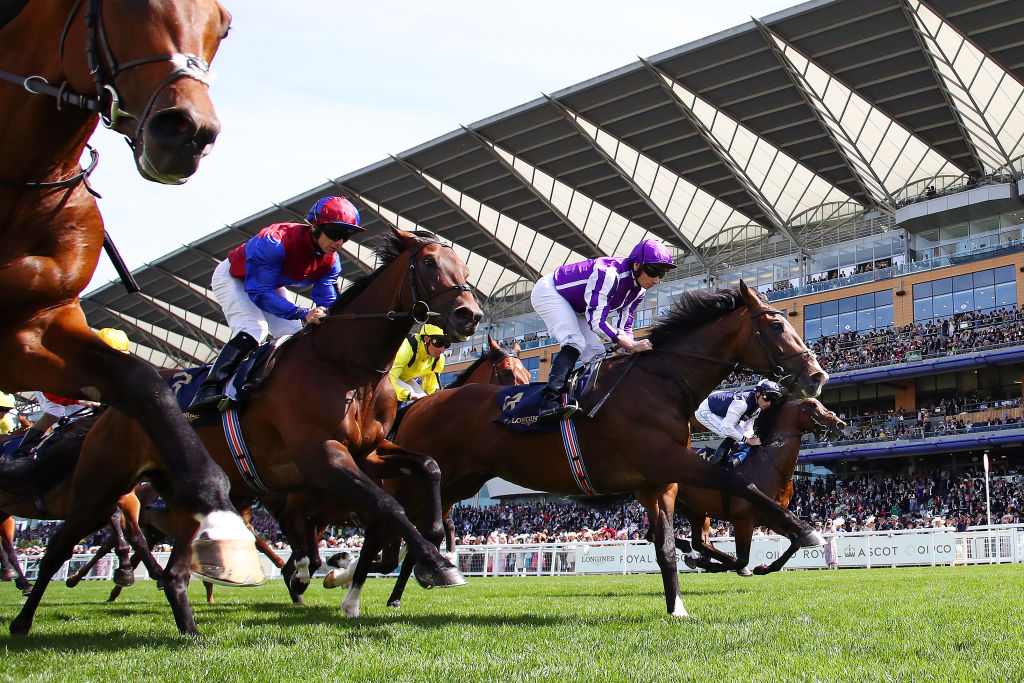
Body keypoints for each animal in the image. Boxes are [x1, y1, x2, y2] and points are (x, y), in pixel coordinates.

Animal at [0, 0, 262, 589]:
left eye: (224, 24)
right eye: (123, 5)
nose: (188, 130)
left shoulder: (39, 326)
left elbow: (145, 383)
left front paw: (219, 526)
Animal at [9, 231, 483, 634]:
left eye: (463, 264)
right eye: (428, 263)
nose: (470, 315)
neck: (345, 364)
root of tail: (110, 406)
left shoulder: (370, 450)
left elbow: (429, 466)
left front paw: (436, 544)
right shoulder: (324, 456)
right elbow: (387, 504)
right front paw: (433, 563)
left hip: (185, 498)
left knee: (175, 571)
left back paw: (191, 629)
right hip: (103, 481)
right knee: (60, 548)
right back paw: (24, 619)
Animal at [387, 280, 827, 618]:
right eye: (775, 324)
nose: (817, 375)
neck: (661, 381)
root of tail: (423, 403)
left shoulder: (658, 482)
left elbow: (666, 547)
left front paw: (677, 608)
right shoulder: (670, 461)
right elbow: (737, 484)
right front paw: (806, 532)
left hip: (462, 479)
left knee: (425, 522)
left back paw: (415, 582)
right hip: (437, 474)